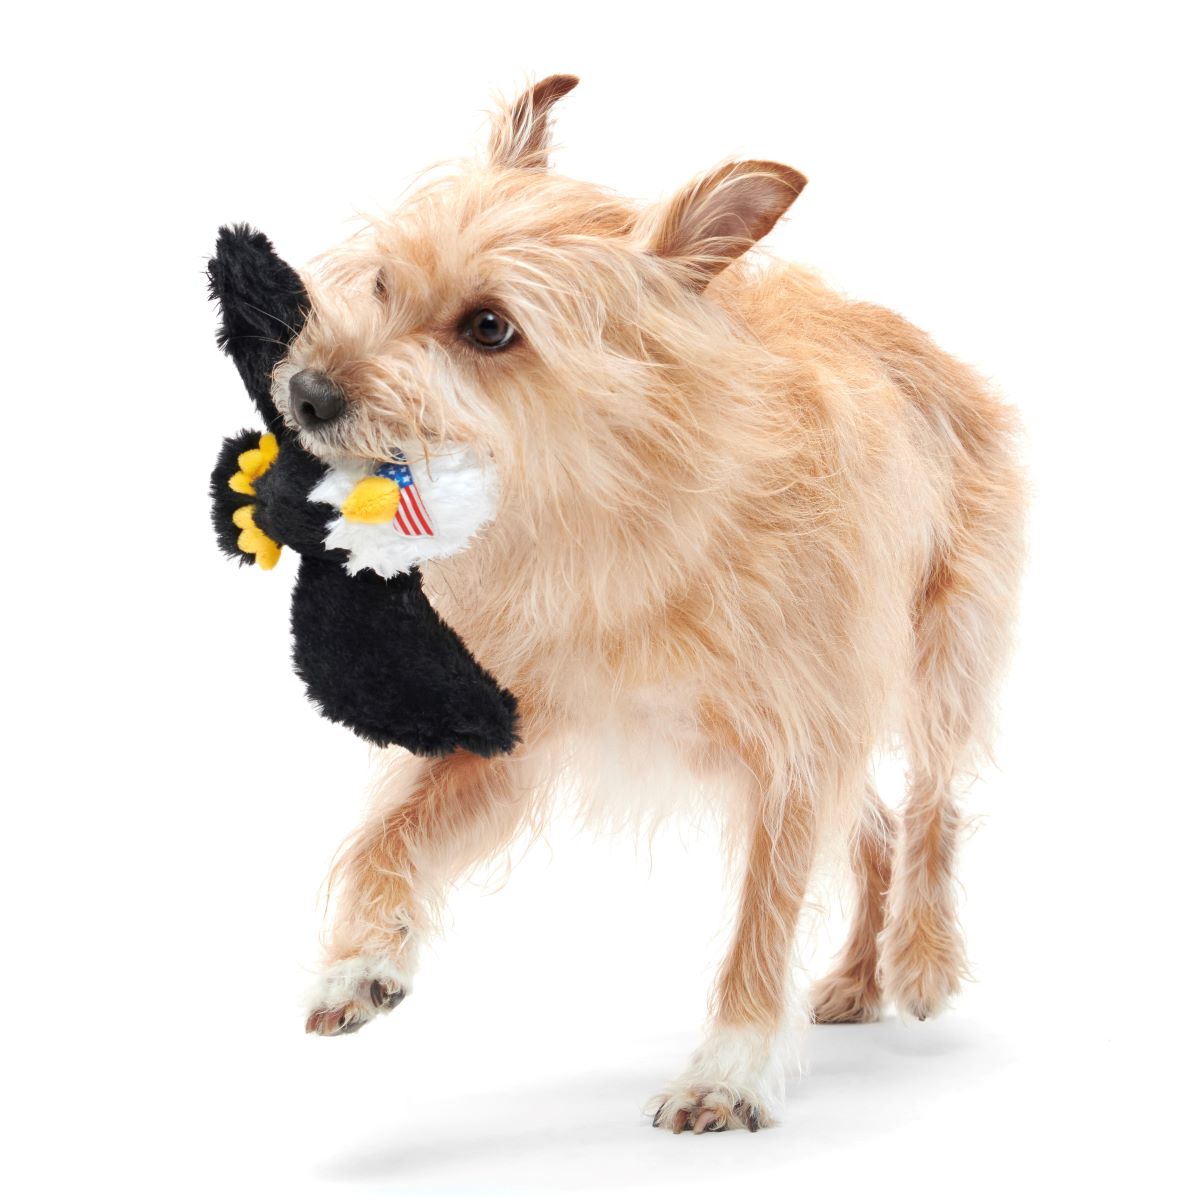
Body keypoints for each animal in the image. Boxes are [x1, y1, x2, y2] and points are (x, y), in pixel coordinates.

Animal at [284, 75, 1026, 1134]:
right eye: (383, 284)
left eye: (490, 328)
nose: (306, 393)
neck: (611, 514)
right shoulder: (515, 736)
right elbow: (388, 836)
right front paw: (359, 962)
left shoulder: (799, 746)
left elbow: (761, 923)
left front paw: (730, 1068)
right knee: (878, 826)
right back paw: (855, 979)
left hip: (937, 667)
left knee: (930, 807)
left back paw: (920, 957)